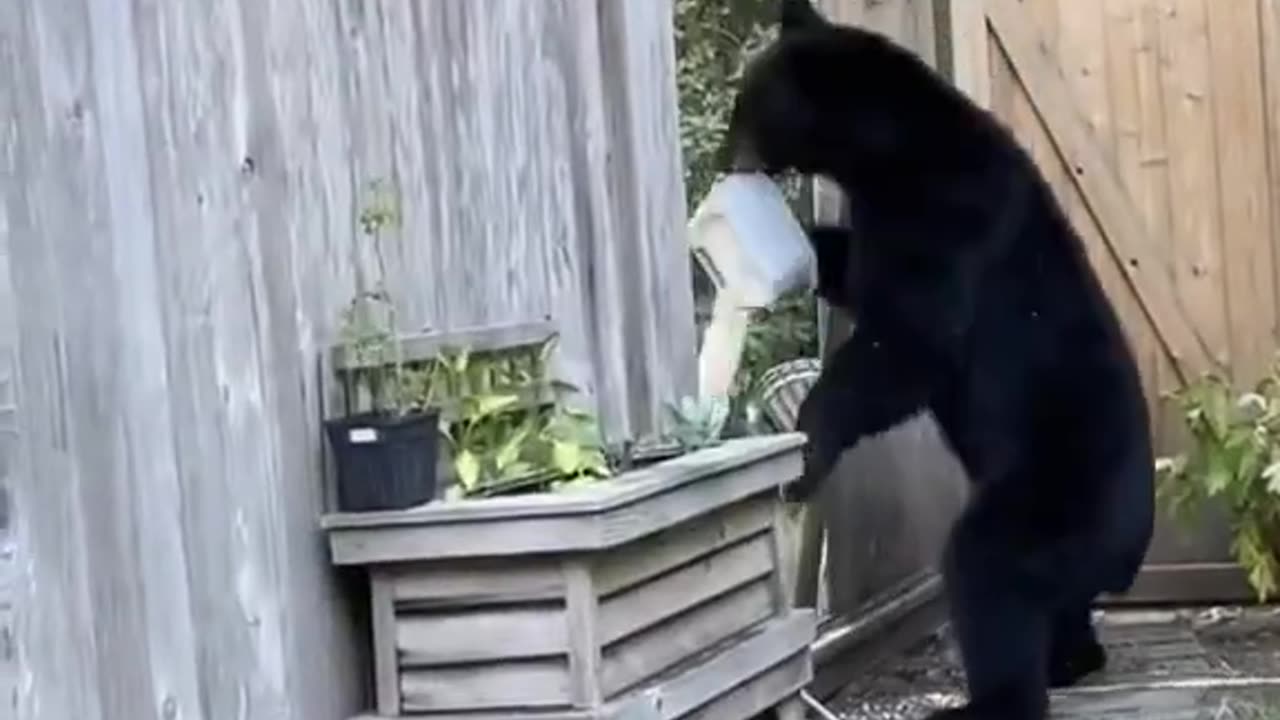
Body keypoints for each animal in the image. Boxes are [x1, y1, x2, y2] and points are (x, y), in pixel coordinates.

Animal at [727, 1, 1157, 717]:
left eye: (749, 100)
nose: (725, 156)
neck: (892, 150)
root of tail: (1134, 546)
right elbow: (856, 272)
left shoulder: (947, 213)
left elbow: (909, 344)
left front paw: (805, 454)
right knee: (1052, 602)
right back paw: (1071, 658)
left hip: (1055, 494)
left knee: (989, 573)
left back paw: (988, 699)